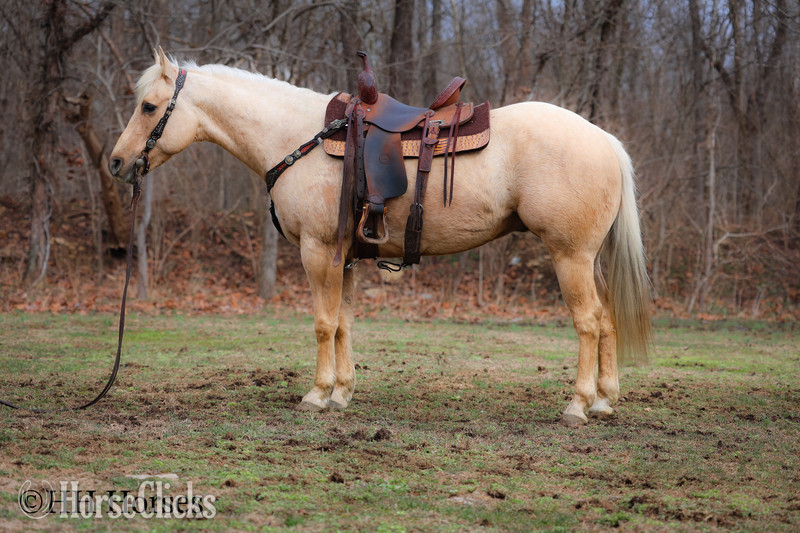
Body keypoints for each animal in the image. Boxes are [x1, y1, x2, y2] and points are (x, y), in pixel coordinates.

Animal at [109, 49, 652, 426]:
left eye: (149, 106)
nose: (116, 162)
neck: (298, 138)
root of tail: (603, 139)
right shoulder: (345, 257)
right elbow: (344, 323)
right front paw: (342, 393)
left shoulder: (318, 251)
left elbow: (323, 324)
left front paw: (317, 394)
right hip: (588, 259)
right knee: (607, 321)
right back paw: (605, 401)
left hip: (569, 256)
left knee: (588, 323)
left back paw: (579, 405)